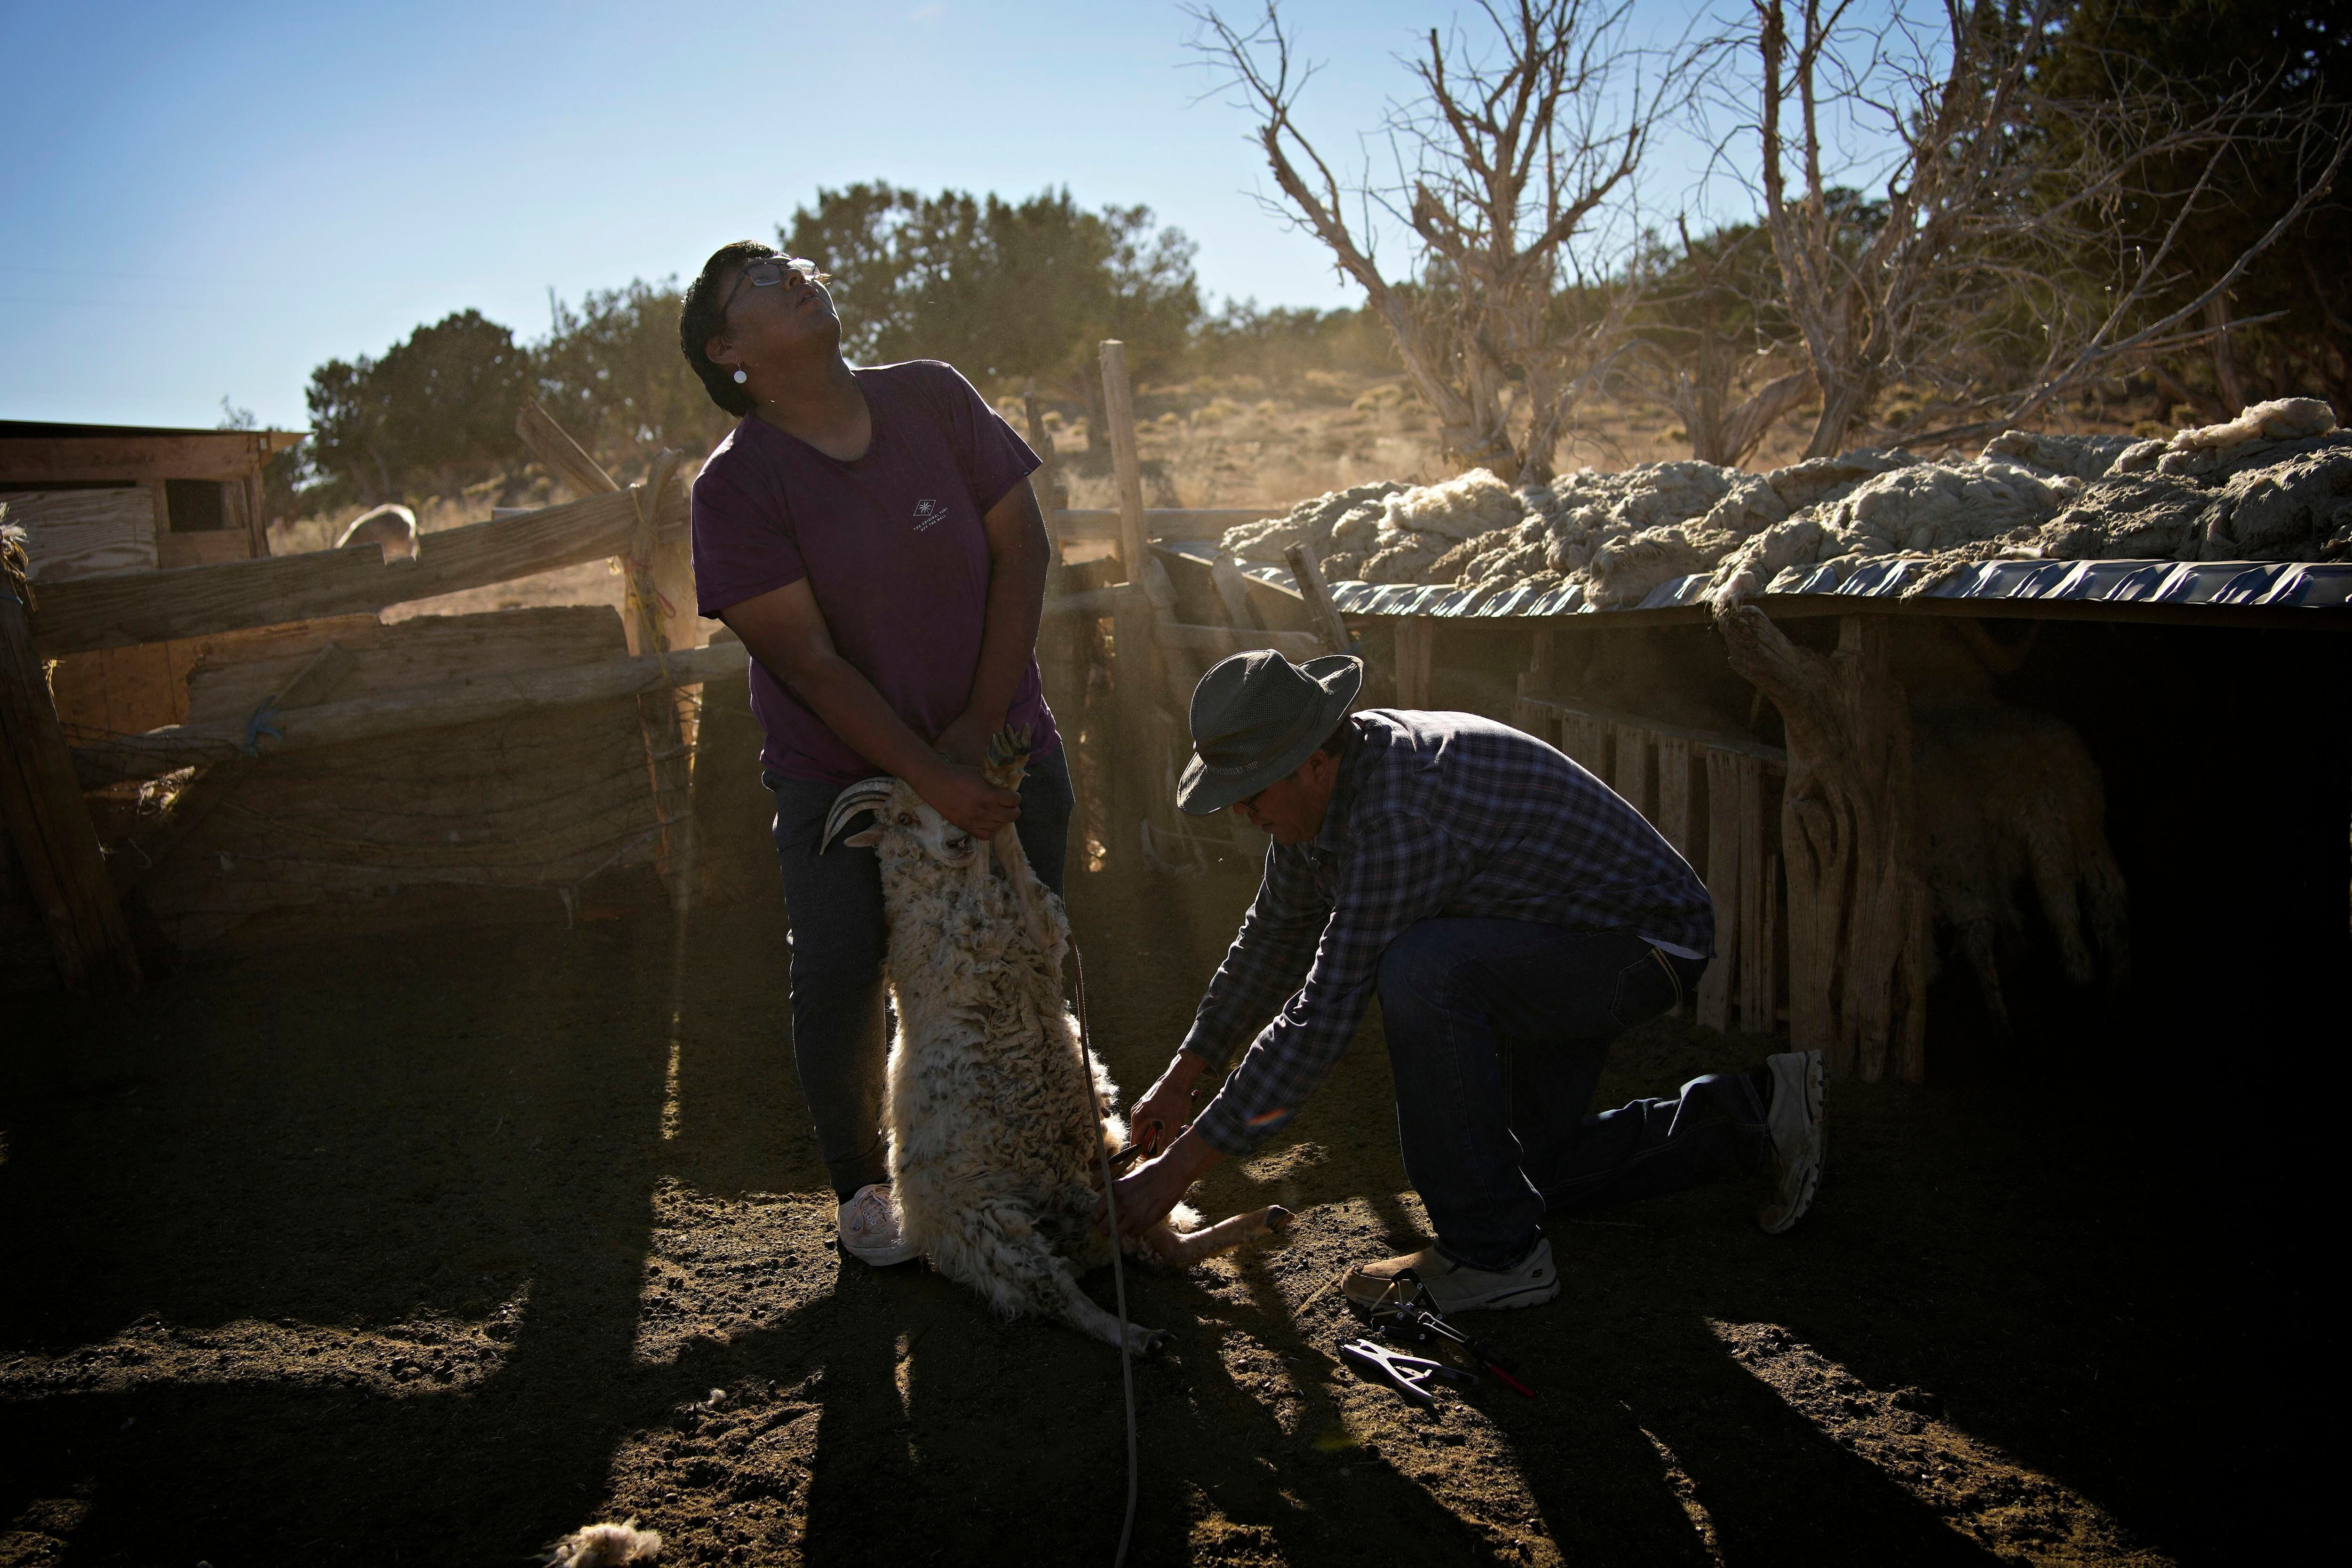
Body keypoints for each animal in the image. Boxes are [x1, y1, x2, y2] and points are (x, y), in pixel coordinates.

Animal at [814, 724, 1289, 1354]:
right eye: (904, 820)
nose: (956, 839)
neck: (939, 903)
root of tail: (1072, 1218)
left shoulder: (1036, 935)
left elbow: (1014, 862)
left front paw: (1006, 772)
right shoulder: (975, 943)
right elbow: (992, 867)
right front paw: (998, 790)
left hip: (1104, 1178)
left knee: (1165, 1250)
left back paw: (1263, 1222)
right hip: (998, 1234)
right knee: (1062, 1296)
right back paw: (1139, 1337)